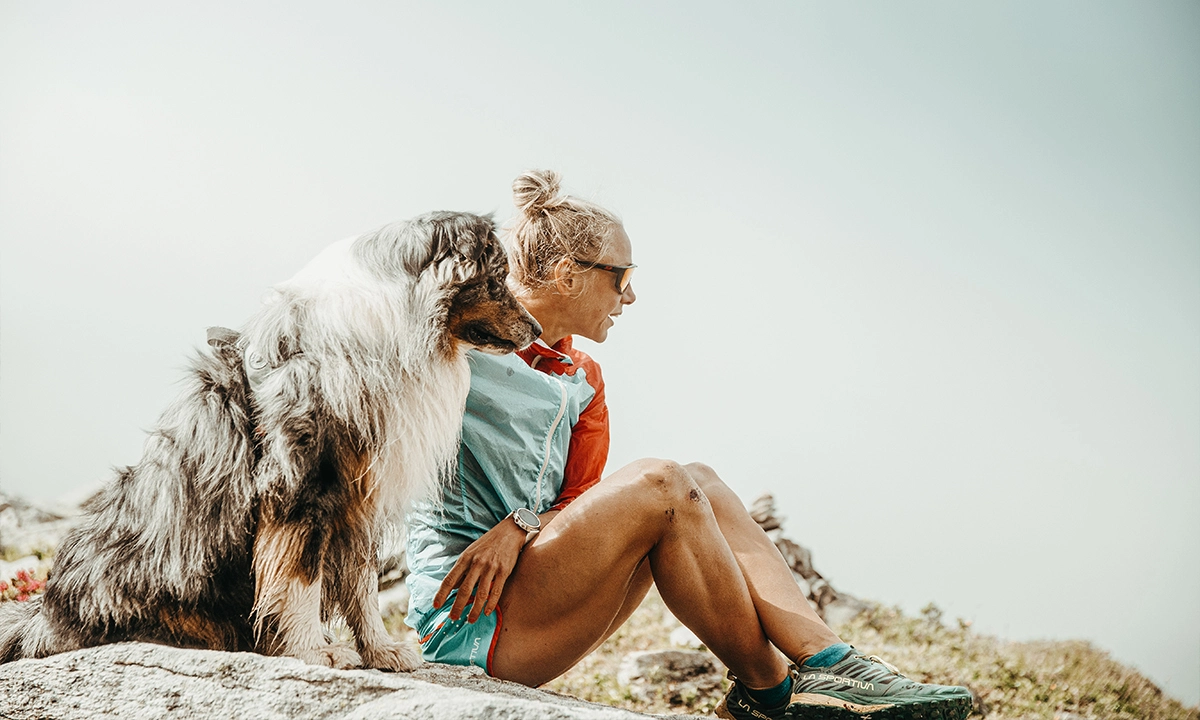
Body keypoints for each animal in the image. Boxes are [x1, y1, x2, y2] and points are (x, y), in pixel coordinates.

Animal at [0, 211, 542, 672]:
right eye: (497, 281)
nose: (537, 329)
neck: (389, 328)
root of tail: (43, 614)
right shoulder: (301, 484)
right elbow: (300, 580)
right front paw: (313, 651)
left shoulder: (356, 495)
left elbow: (360, 583)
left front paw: (380, 650)